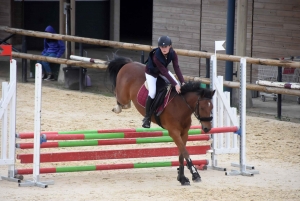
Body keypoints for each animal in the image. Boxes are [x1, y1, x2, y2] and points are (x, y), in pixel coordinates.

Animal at [106, 53, 214, 185]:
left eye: (212, 107)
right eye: (202, 107)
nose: (207, 128)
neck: (181, 106)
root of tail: (129, 63)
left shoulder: (184, 133)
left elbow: (181, 154)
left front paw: (182, 178)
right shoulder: (174, 132)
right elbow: (185, 152)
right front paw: (195, 174)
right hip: (123, 95)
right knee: (120, 98)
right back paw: (118, 108)